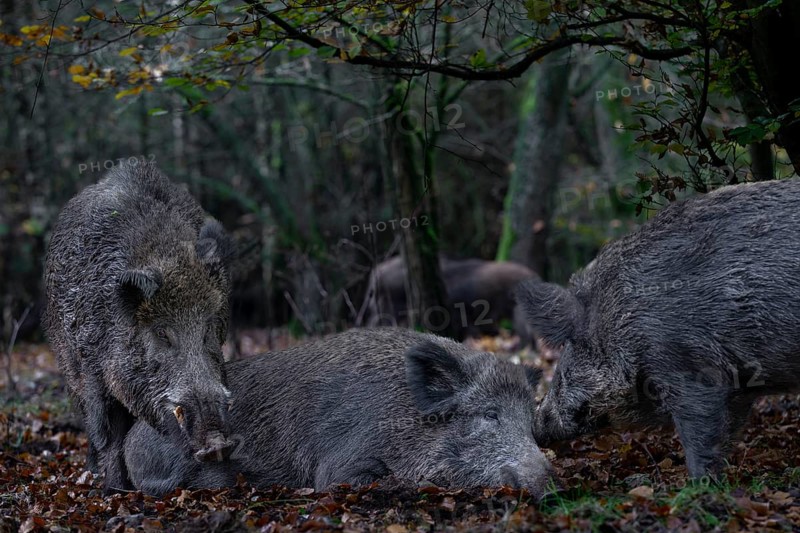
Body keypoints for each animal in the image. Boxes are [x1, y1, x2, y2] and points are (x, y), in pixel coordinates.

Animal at [44, 163, 235, 492]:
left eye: (208, 328)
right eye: (161, 333)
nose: (217, 445)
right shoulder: (93, 370)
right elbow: (109, 433)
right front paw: (114, 491)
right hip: (67, 364)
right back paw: (93, 472)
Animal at [516, 178, 800, 478]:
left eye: (566, 361)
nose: (536, 426)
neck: (622, 318)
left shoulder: (688, 366)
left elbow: (699, 433)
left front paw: (698, 483)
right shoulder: (738, 388)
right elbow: (728, 432)